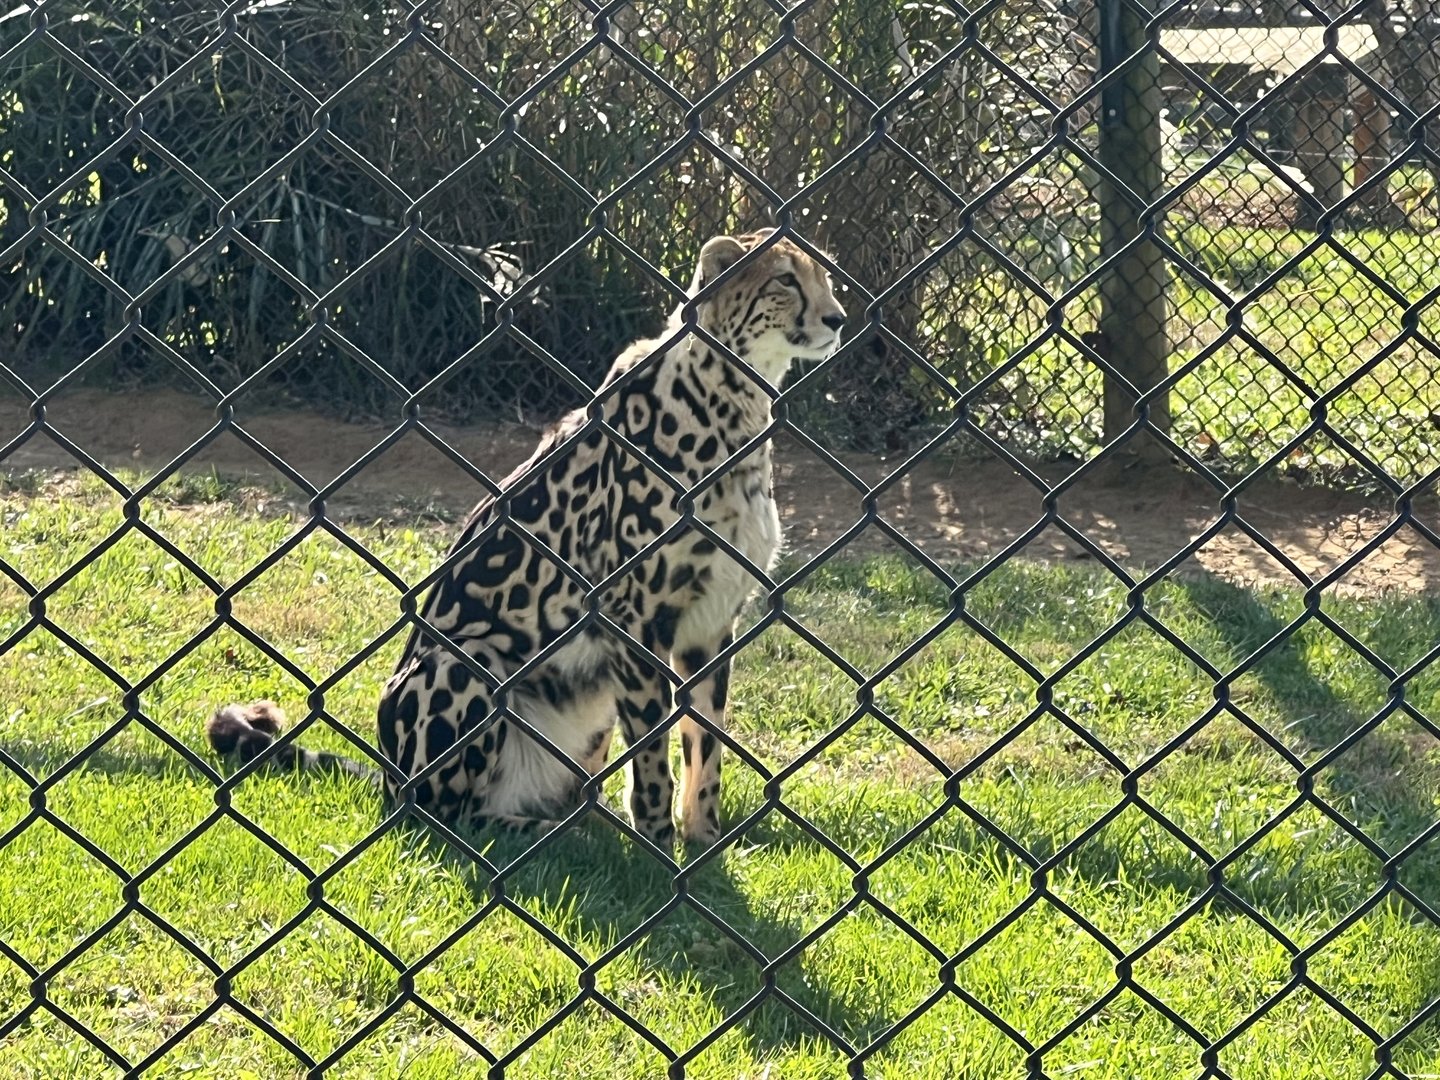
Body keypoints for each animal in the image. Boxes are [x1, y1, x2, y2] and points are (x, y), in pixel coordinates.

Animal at [206, 228, 846, 849]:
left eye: (826, 278)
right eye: (785, 280)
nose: (838, 318)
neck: (731, 402)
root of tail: (391, 774)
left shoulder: (708, 625)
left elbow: (704, 743)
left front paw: (704, 841)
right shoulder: (634, 617)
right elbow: (654, 753)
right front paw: (659, 849)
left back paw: (582, 823)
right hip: (468, 664)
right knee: (446, 816)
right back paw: (560, 839)